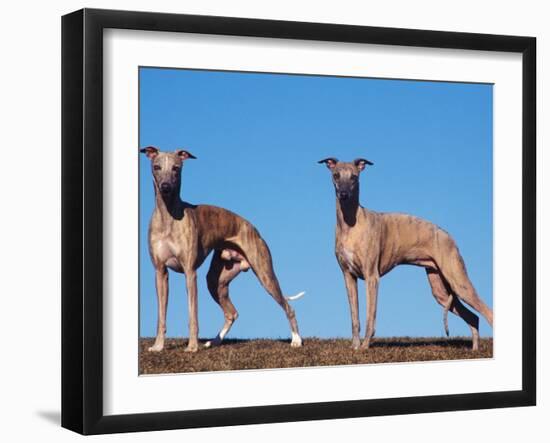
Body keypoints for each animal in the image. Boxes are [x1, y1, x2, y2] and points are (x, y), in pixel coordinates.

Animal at [141, 147, 306, 354]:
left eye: (176, 168)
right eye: (156, 167)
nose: (165, 187)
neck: (168, 217)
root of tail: (254, 229)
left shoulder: (190, 272)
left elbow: (193, 315)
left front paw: (192, 346)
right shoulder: (160, 272)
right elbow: (161, 315)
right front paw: (158, 346)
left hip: (265, 274)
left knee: (288, 306)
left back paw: (296, 340)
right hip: (216, 281)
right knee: (232, 313)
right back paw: (214, 341)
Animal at [320, 158, 496, 352]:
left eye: (353, 177)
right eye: (336, 175)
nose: (343, 194)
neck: (351, 223)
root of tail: (449, 236)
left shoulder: (372, 276)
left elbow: (370, 316)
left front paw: (365, 346)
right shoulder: (348, 276)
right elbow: (355, 317)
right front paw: (355, 347)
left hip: (459, 282)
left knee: (488, 313)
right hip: (441, 290)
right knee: (474, 317)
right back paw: (475, 349)